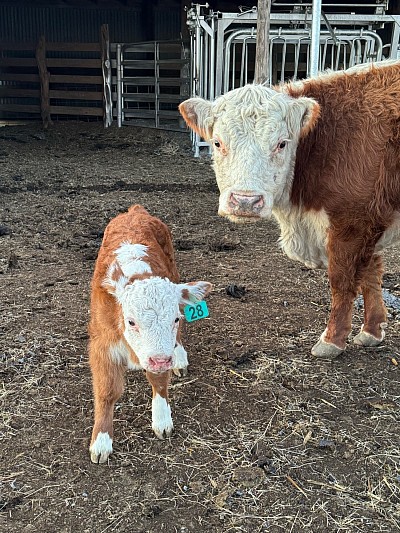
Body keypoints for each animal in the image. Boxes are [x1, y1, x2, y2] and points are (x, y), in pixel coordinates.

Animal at [88, 204, 212, 462]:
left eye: (175, 318)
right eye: (131, 321)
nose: (161, 360)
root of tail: (135, 211)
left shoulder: (161, 352)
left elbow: (159, 381)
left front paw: (162, 420)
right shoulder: (102, 344)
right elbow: (107, 391)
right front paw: (101, 441)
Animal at [179, 60, 400, 360]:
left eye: (281, 143)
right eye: (217, 142)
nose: (246, 201)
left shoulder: (354, 222)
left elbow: (342, 281)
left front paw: (332, 340)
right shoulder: (372, 222)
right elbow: (371, 275)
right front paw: (372, 331)